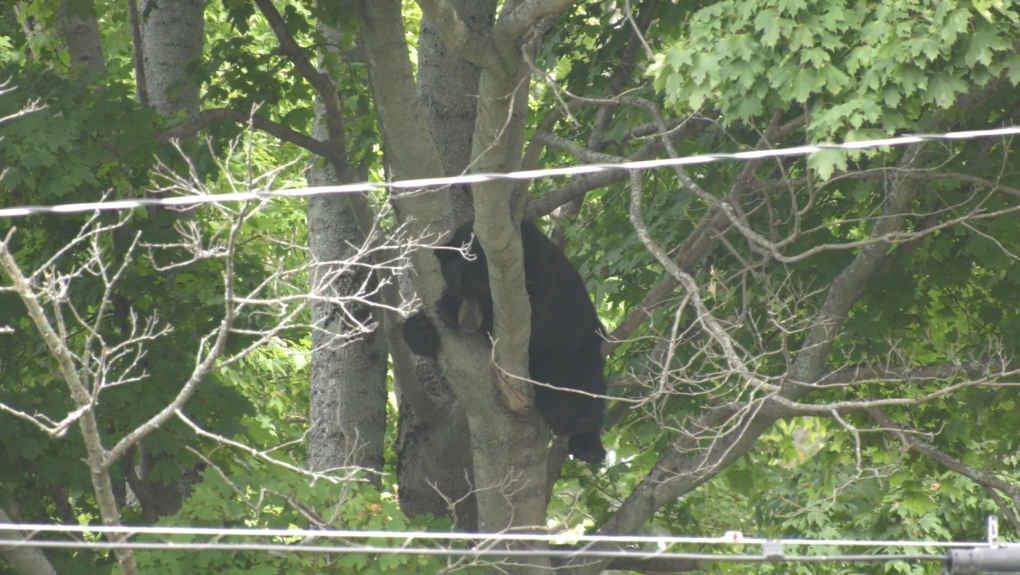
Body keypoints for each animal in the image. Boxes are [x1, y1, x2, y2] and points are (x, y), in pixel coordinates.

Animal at [397, 218, 603, 464]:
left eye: (486, 295)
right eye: (459, 289)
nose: (467, 327)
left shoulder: (532, 263)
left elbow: (531, 313)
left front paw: (449, 310)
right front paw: (420, 329)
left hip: (577, 343)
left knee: (584, 387)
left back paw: (585, 438)